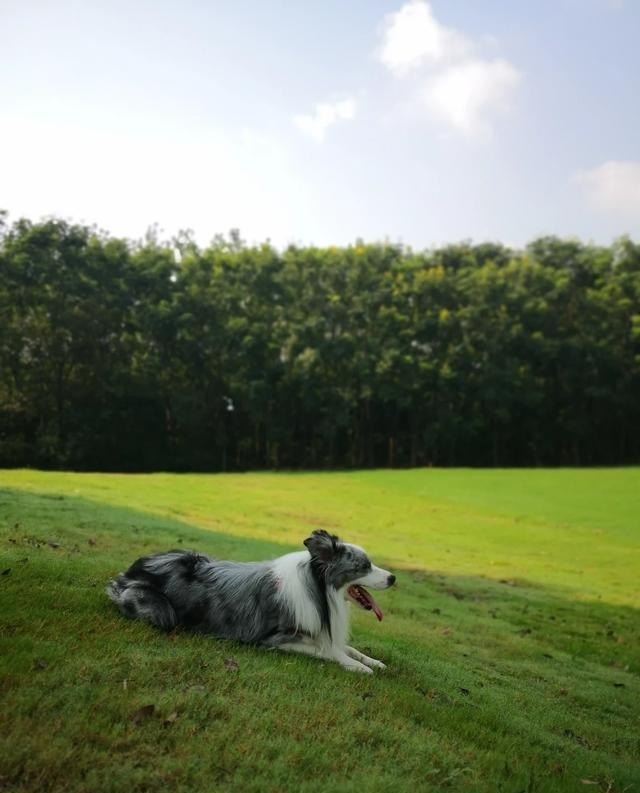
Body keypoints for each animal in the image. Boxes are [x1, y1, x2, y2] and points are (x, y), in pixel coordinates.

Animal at [107, 528, 392, 672]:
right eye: (364, 566)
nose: (393, 578)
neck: (318, 589)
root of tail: (133, 568)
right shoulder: (274, 639)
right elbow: (329, 651)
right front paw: (358, 666)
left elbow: (346, 647)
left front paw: (373, 661)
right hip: (162, 611)